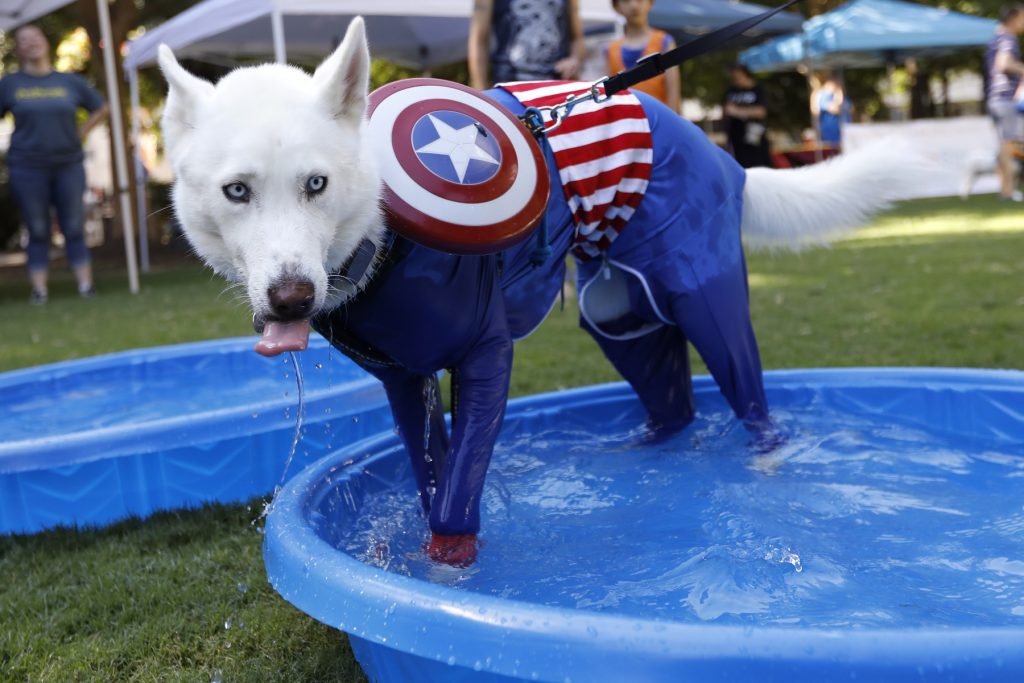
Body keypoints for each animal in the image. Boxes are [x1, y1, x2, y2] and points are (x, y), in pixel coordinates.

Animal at [157, 17, 921, 565]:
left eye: (316, 183)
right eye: (237, 191)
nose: (290, 298)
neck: (386, 234)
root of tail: (722, 155)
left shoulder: (486, 357)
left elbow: (457, 498)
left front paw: (451, 572)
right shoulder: (405, 382)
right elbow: (429, 475)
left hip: (705, 297)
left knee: (751, 399)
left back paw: (766, 467)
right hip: (618, 316)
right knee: (671, 402)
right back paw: (642, 456)